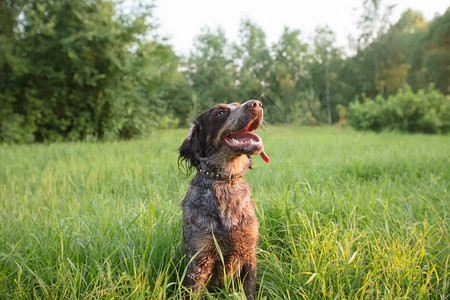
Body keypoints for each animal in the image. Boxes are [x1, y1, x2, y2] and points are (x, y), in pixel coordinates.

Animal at [178, 99, 268, 298]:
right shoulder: (198, 262)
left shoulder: (249, 255)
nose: (256, 103)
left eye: (236, 104)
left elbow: (250, 291)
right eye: (220, 113)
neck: (225, 182)